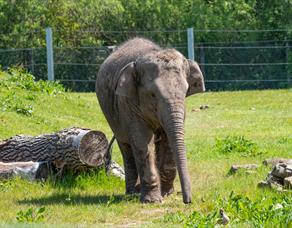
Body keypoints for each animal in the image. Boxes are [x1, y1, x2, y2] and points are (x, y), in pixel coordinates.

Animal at [94, 38, 204, 204]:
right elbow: (142, 141)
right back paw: (132, 192)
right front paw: (152, 200)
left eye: (186, 91)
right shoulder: (128, 102)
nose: (188, 201)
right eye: (152, 94)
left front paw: (166, 194)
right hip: (113, 117)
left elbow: (168, 139)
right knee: (126, 148)